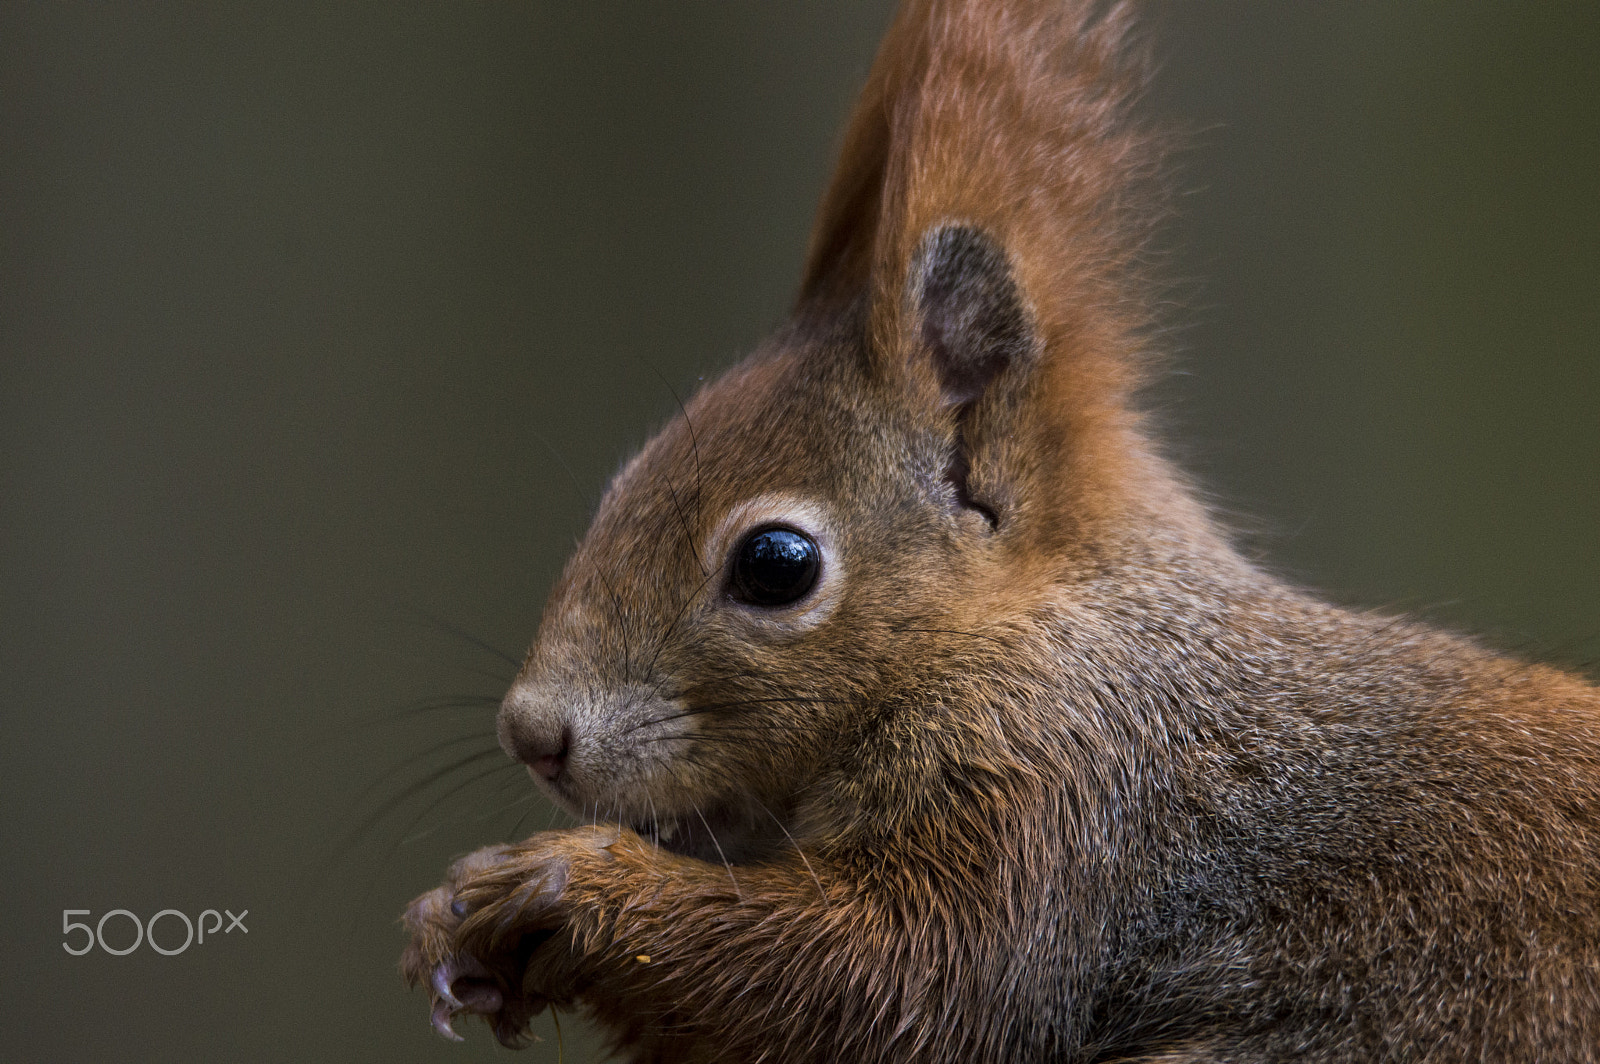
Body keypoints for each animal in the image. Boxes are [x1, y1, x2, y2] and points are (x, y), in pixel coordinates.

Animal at [401, 0, 1600, 1060]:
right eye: (621, 481)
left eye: (776, 565)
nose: (534, 735)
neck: (1042, 628)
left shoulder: (1070, 803)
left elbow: (897, 985)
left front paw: (560, 886)